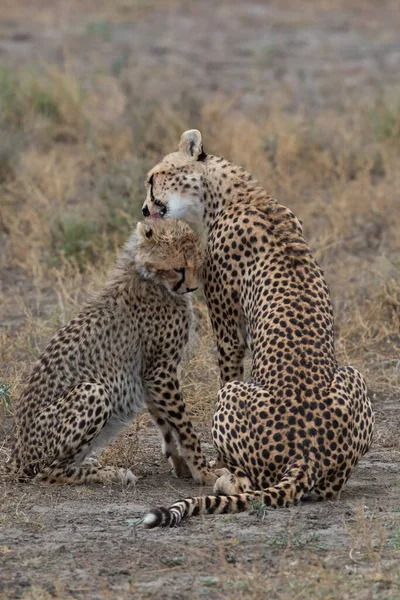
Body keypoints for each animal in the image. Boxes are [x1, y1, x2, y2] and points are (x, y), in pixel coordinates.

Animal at [8, 218, 216, 486]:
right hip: (92, 391)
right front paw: (205, 472)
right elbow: (184, 425)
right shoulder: (161, 370)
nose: (192, 288)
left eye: (197, 265)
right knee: (49, 472)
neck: (148, 276)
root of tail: (17, 455)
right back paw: (112, 472)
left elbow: (166, 424)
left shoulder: (149, 374)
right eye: (178, 268)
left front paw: (182, 466)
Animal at [138, 130, 376, 524]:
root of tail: (307, 454)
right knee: (330, 489)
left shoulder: (228, 333)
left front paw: (213, 466)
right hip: (353, 376)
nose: (144, 209)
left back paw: (227, 480)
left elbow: (228, 365)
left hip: (232, 397)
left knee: (250, 479)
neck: (235, 194)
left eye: (153, 178)